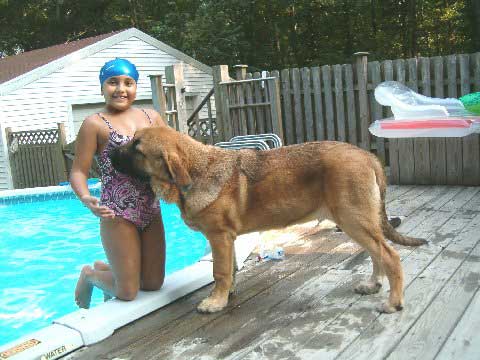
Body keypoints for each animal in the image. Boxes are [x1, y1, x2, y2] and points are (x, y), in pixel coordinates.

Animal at [110, 126, 426, 316]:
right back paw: (372, 285)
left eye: (137, 147)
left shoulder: (219, 237)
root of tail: (367, 156)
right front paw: (227, 294)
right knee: (377, 254)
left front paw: (215, 301)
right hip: (358, 223)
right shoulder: (227, 240)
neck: (196, 169)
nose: (110, 152)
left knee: (390, 255)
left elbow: (220, 272)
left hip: (354, 220)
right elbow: (230, 270)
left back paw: (393, 302)